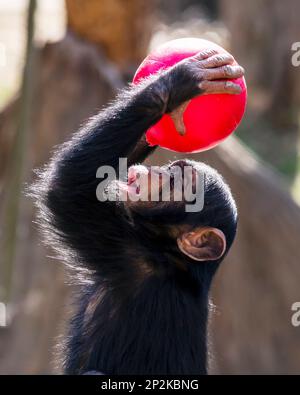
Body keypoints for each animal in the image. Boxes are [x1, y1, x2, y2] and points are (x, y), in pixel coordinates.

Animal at [32, 49, 244, 374]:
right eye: (175, 168)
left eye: (177, 181)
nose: (156, 172)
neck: (169, 250)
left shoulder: (127, 254)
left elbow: (68, 186)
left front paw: (180, 82)